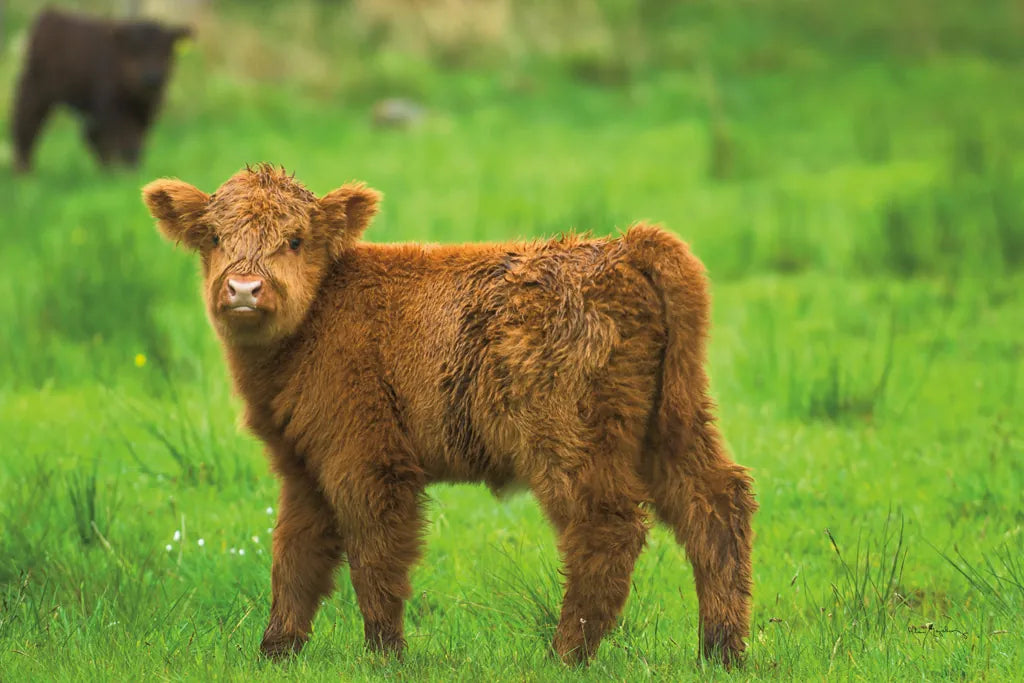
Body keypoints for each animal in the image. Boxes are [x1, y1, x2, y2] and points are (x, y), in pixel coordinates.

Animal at [11, 9, 190, 171]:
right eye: (135, 50)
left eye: (166, 49)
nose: (152, 77)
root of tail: (49, 15)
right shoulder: (111, 108)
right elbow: (122, 139)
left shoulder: (146, 111)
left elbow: (136, 139)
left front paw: (132, 169)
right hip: (34, 91)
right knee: (25, 125)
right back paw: (24, 171)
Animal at [141, 164, 757, 666]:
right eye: (214, 237)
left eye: (294, 240)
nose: (244, 288)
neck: (317, 318)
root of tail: (622, 246)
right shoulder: (303, 466)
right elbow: (295, 556)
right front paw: (275, 651)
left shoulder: (367, 459)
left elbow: (375, 556)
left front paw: (385, 654)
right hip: (672, 425)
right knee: (715, 505)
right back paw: (720, 651)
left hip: (571, 440)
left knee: (608, 528)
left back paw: (565, 655)